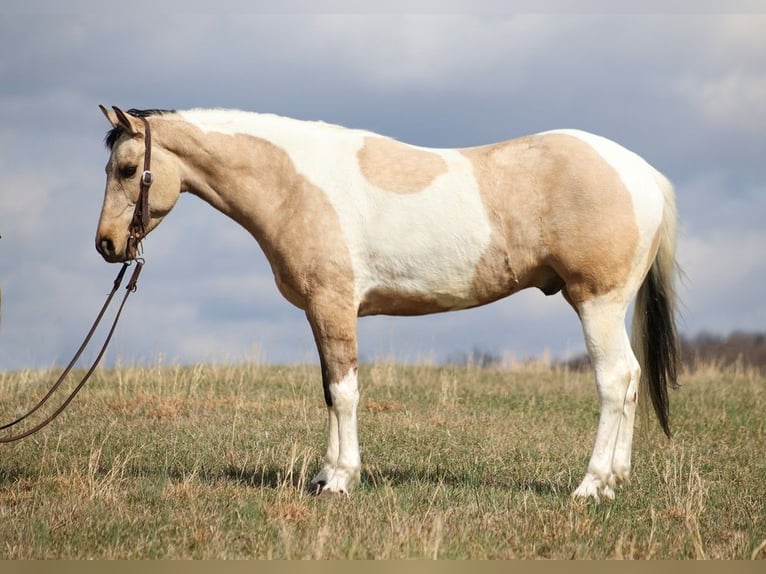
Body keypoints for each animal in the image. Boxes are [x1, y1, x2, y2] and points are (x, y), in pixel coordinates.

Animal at [94, 106, 680, 502]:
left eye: (126, 169)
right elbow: (329, 392)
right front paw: (325, 475)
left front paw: (340, 481)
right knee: (631, 380)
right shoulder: (320, 313)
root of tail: (644, 174)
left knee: (614, 381)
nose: (106, 245)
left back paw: (591, 485)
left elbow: (344, 392)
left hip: (597, 302)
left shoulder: (333, 306)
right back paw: (615, 480)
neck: (297, 184)